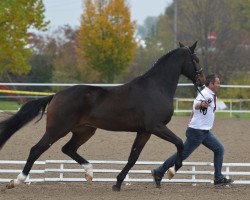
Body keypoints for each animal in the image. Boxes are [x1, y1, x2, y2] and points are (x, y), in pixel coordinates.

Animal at [0, 41, 205, 191]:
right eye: (196, 59)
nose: (202, 82)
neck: (156, 87)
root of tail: (56, 95)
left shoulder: (144, 131)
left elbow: (133, 157)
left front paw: (118, 183)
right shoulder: (156, 127)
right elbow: (179, 143)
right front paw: (171, 171)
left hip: (85, 131)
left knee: (68, 149)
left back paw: (89, 173)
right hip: (57, 130)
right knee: (36, 150)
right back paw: (16, 181)